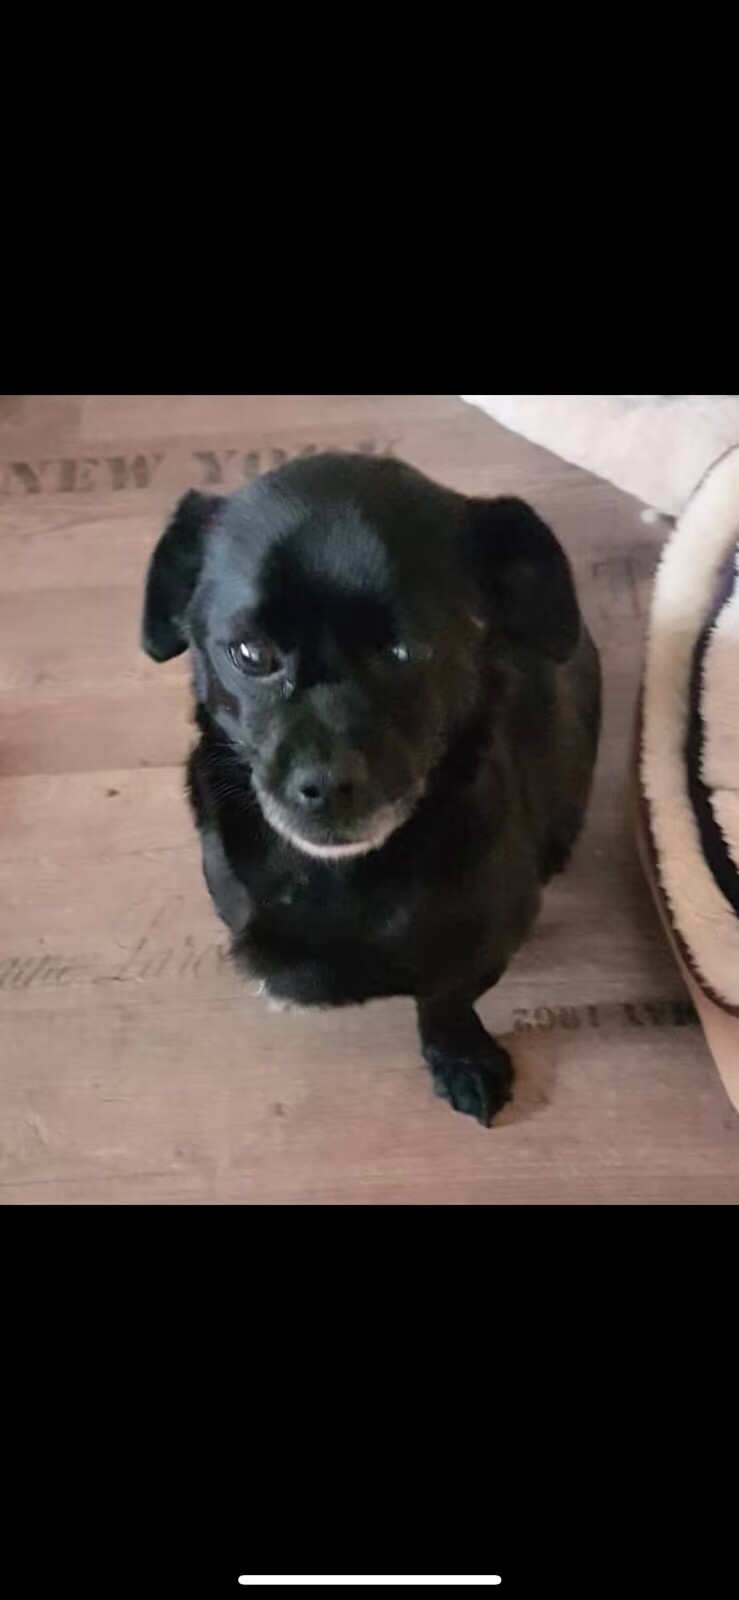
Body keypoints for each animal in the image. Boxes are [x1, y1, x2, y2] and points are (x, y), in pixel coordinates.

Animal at [142, 452, 601, 1125]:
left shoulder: (488, 939)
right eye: (250, 653)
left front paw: (460, 1057)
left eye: (405, 651)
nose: (327, 783)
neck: (338, 877)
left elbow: (445, 998)